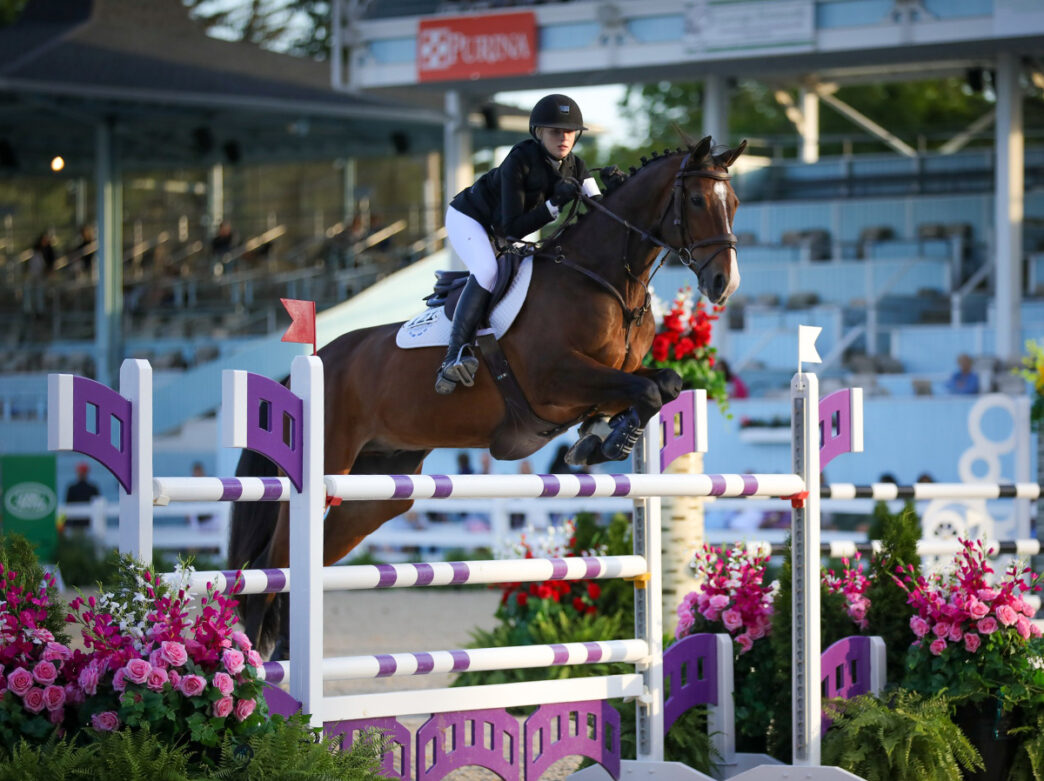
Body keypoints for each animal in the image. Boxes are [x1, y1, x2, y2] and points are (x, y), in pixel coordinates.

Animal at [230, 134, 746, 655]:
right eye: (697, 200)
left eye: (736, 205)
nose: (724, 284)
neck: (606, 281)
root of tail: (306, 369)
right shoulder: (555, 380)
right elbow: (646, 390)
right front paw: (610, 441)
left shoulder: (614, 374)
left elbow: (663, 384)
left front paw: (599, 438)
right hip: (328, 464)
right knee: (269, 568)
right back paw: (253, 662)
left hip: (376, 490)